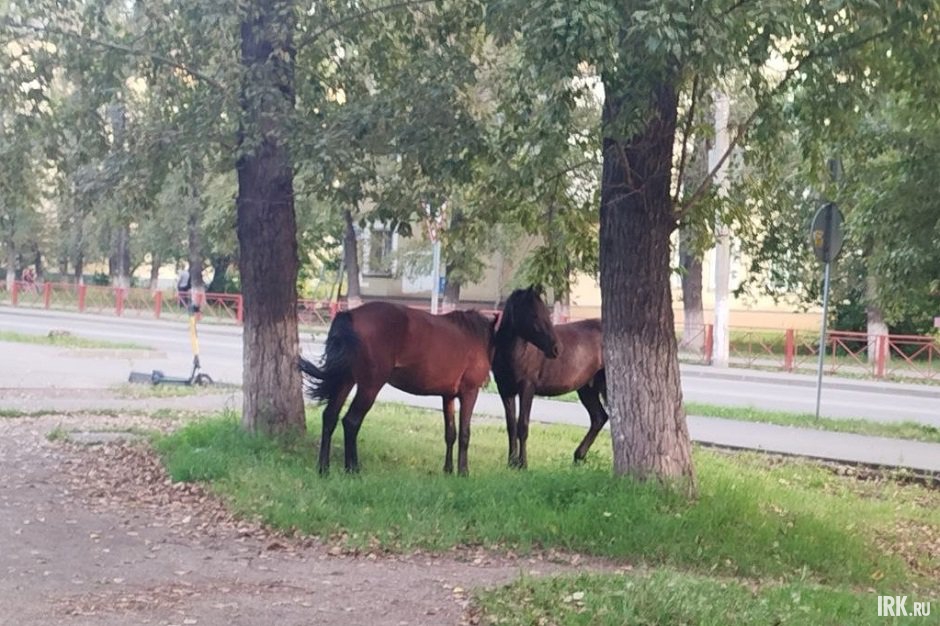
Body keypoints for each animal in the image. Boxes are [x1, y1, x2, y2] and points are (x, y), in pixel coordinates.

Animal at [299, 300, 556, 476]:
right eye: (535, 313)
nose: (555, 348)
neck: (482, 336)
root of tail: (350, 314)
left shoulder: (448, 396)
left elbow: (450, 433)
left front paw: (448, 470)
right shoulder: (469, 393)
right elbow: (464, 433)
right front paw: (463, 472)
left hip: (346, 380)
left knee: (330, 417)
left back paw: (324, 469)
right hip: (370, 385)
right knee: (351, 422)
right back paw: (353, 469)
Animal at [492, 287, 607, 468]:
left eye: (546, 312)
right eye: (534, 315)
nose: (556, 349)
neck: (514, 353)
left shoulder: (527, 387)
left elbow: (522, 425)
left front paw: (523, 464)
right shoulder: (505, 390)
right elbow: (511, 426)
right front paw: (511, 462)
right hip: (586, 389)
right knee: (599, 418)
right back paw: (578, 456)